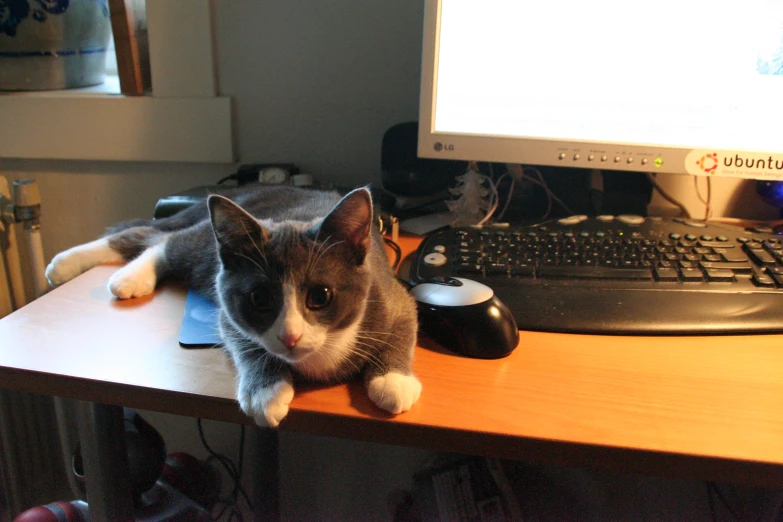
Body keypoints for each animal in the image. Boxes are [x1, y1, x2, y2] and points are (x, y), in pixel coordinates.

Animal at [44, 185, 422, 424]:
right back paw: (82, 267)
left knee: (155, 236)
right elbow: (243, 339)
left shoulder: (390, 294)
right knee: (161, 238)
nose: (290, 337)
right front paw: (266, 391)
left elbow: (405, 324)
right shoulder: (227, 309)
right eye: (260, 298)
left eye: (320, 296)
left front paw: (393, 381)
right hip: (206, 248)